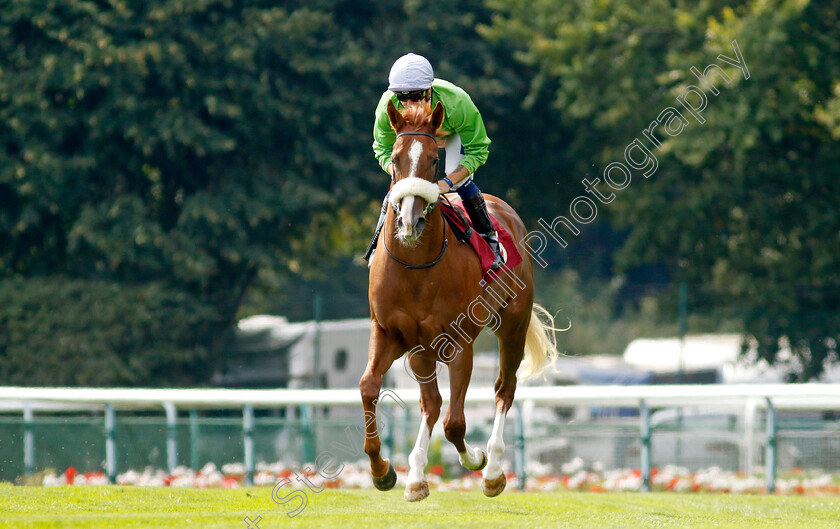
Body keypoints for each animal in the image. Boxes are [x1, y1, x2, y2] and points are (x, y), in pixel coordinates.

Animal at [360, 98, 556, 500]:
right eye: (395, 159)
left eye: (435, 159)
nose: (410, 221)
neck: (417, 266)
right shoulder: (393, 334)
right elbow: (371, 388)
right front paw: (384, 471)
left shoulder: (458, 342)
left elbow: (455, 423)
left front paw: (477, 460)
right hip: (422, 350)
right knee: (431, 404)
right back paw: (417, 473)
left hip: (513, 326)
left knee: (503, 389)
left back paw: (493, 469)